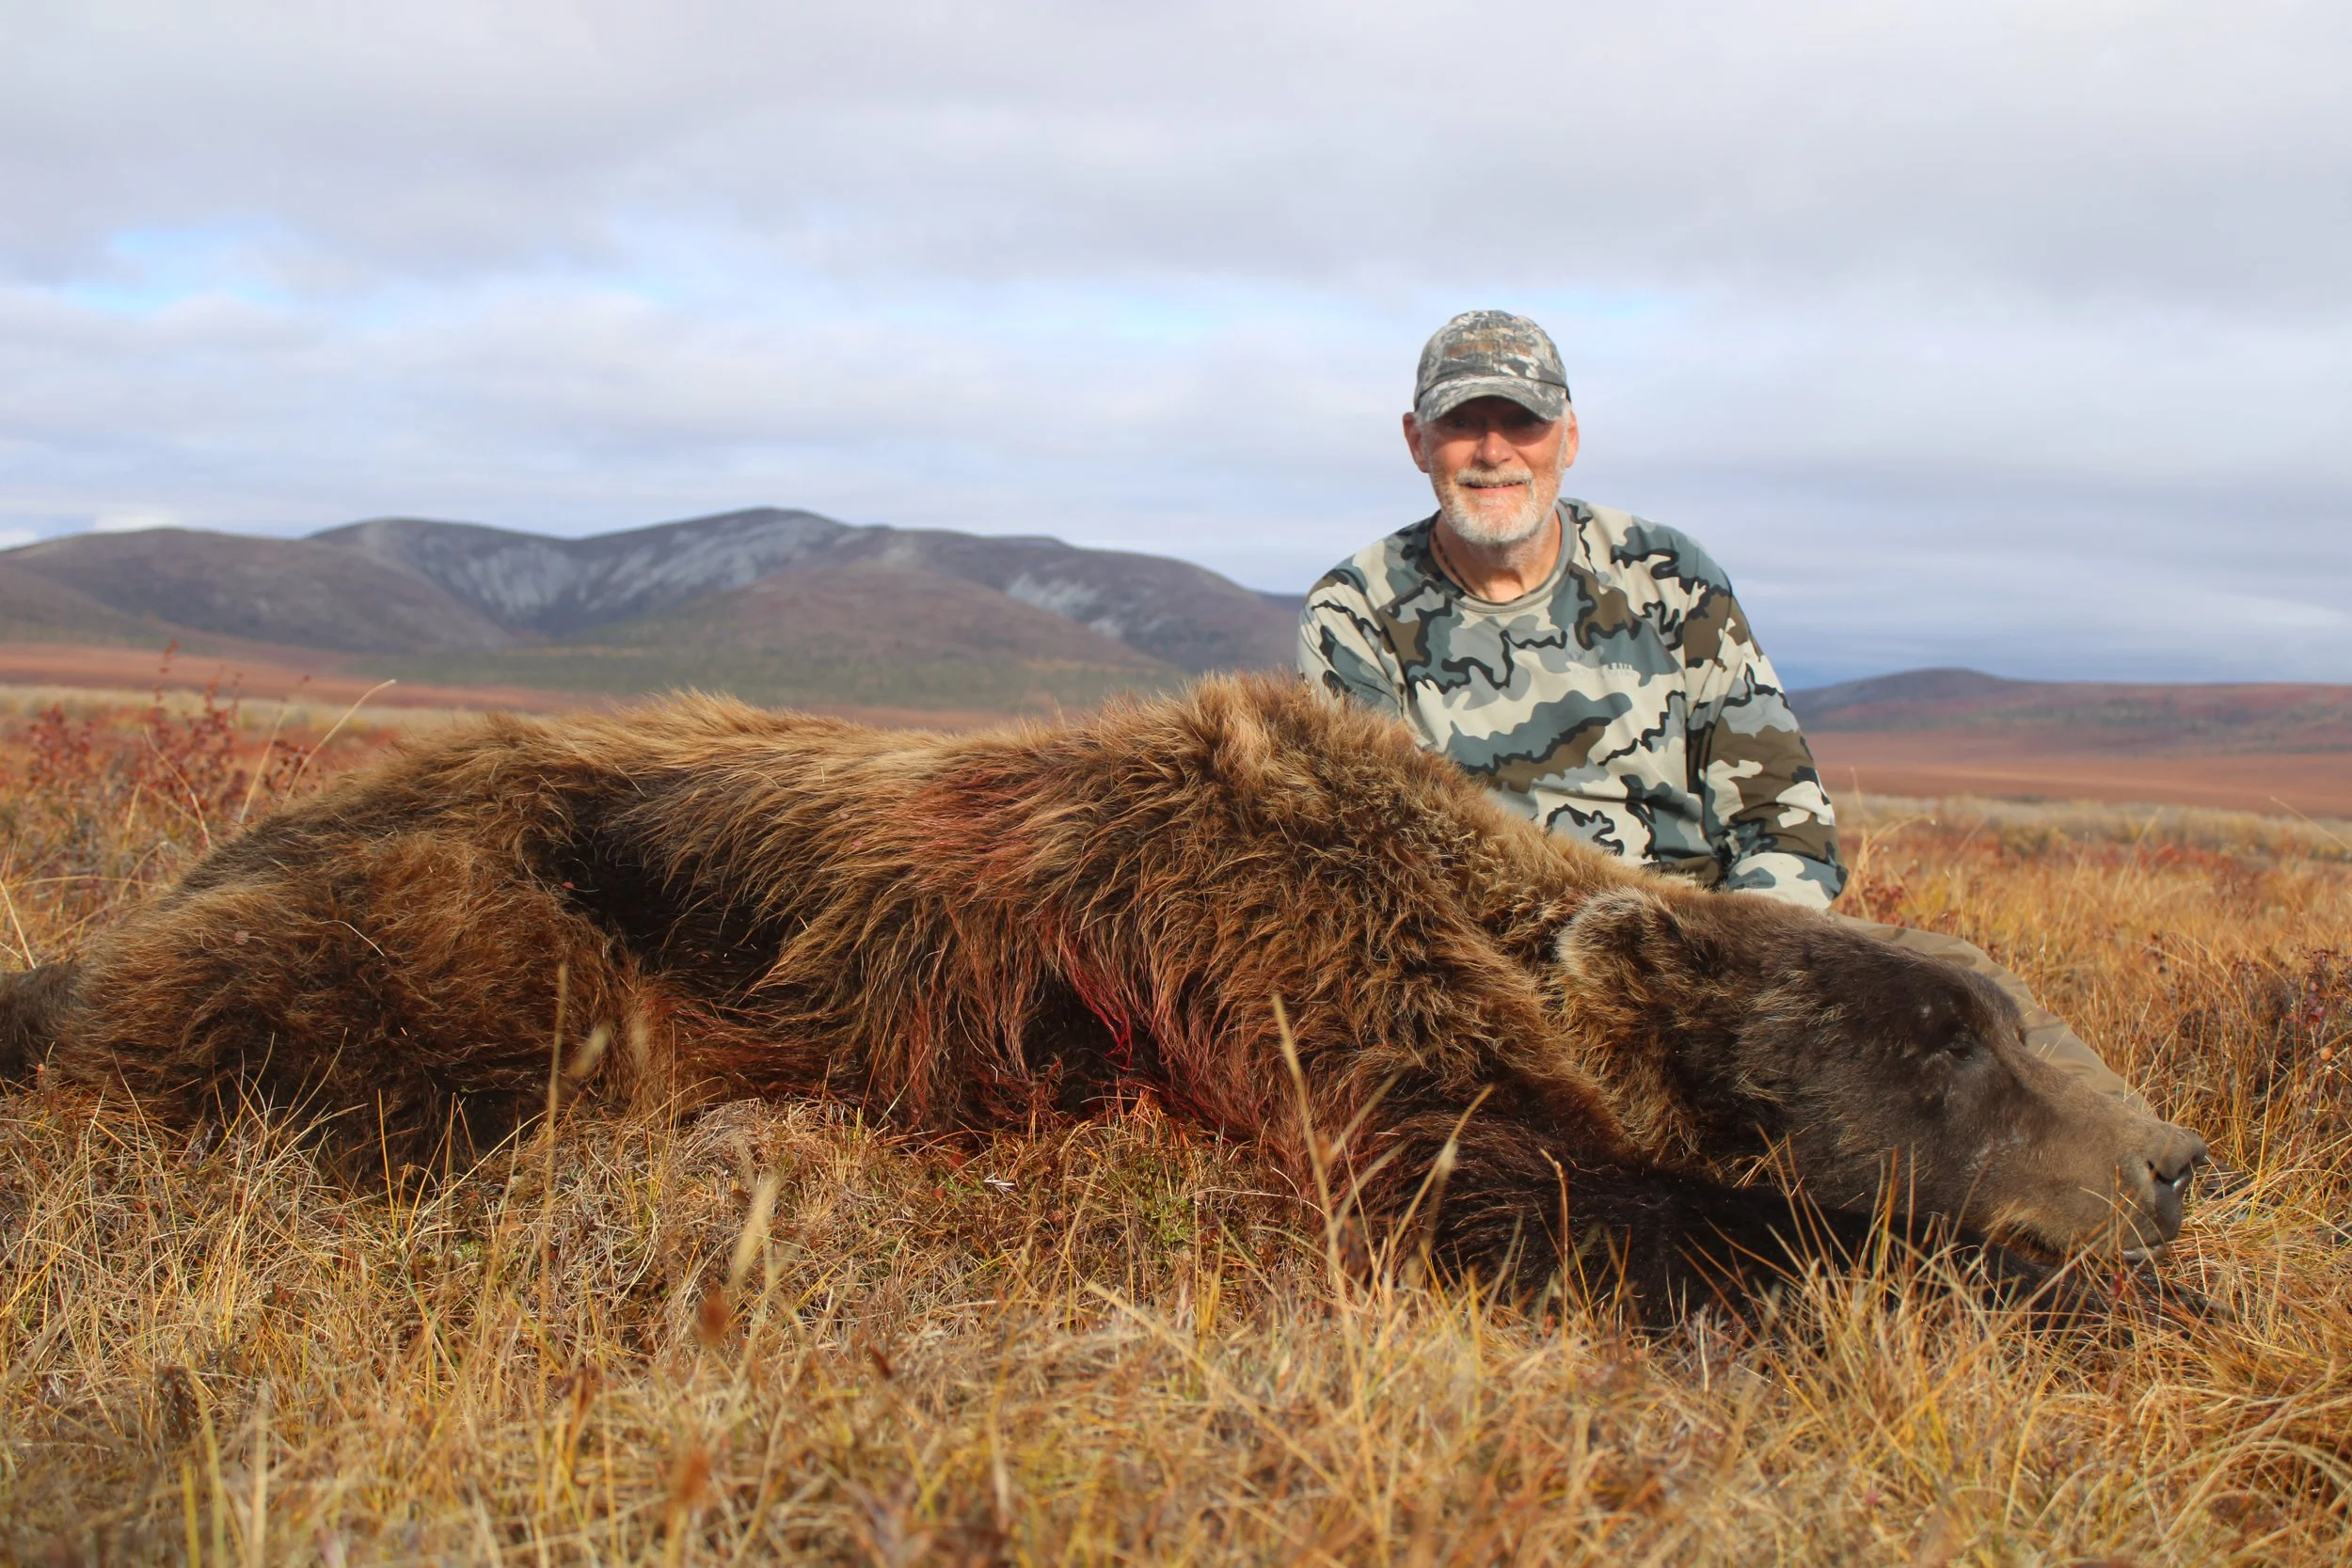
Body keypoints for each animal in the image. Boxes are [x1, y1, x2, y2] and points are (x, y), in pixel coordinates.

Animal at [0, 675, 2207, 1323]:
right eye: (1946, 1036)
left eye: (2016, 1004)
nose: (2178, 1160)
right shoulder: (1297, 974)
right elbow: (1523, 1195)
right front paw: (2035, 1284)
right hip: (491, 921)